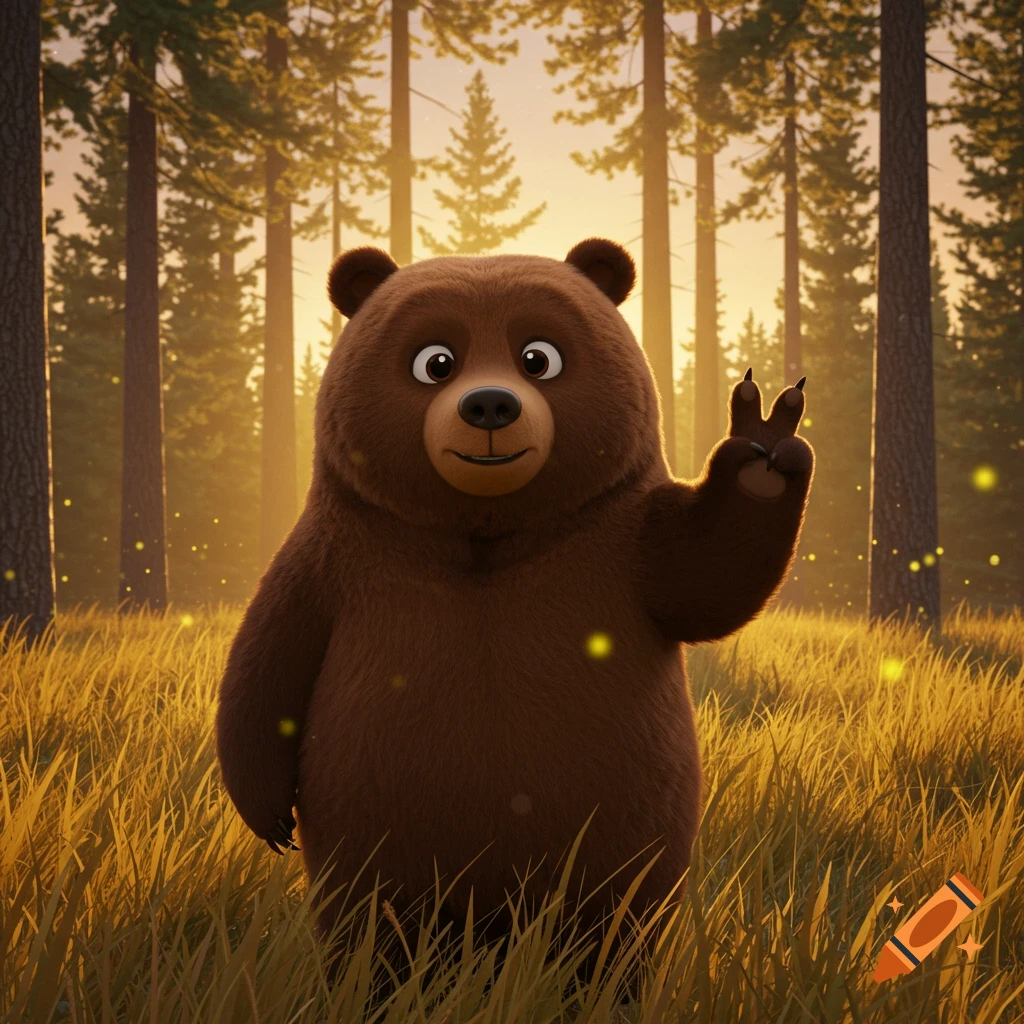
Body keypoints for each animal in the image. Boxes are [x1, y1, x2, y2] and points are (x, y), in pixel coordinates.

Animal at [214, 237, 814, 1004]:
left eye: (539, 357)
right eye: (436, 360)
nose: (491, 403)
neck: (485, 540)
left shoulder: (620, 548)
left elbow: (709, 580)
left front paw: (764, 443)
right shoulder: (336, 560)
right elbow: (268, 660)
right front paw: (266, 814)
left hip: (626, 822)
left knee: (614, 921)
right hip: (375, 831)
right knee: (374, 919)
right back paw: (380, 990)